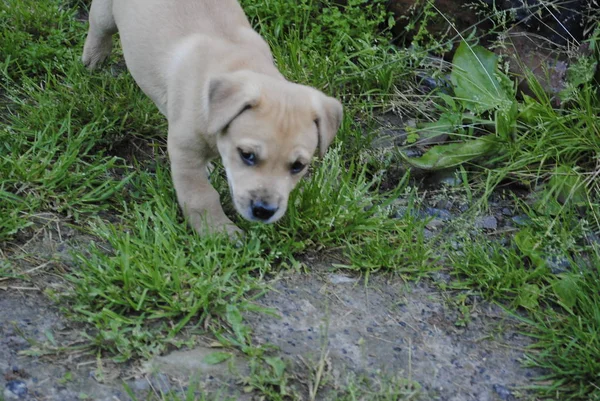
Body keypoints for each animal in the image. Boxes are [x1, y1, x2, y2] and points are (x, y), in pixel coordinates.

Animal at [81, 0, 342, 236]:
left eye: (298, 166)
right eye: (247, 155)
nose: (264, 210)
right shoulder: (185, 152)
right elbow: (201, 195)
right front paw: (217, 231)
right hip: (106, 12)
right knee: (99, 25)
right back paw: (93, 59)